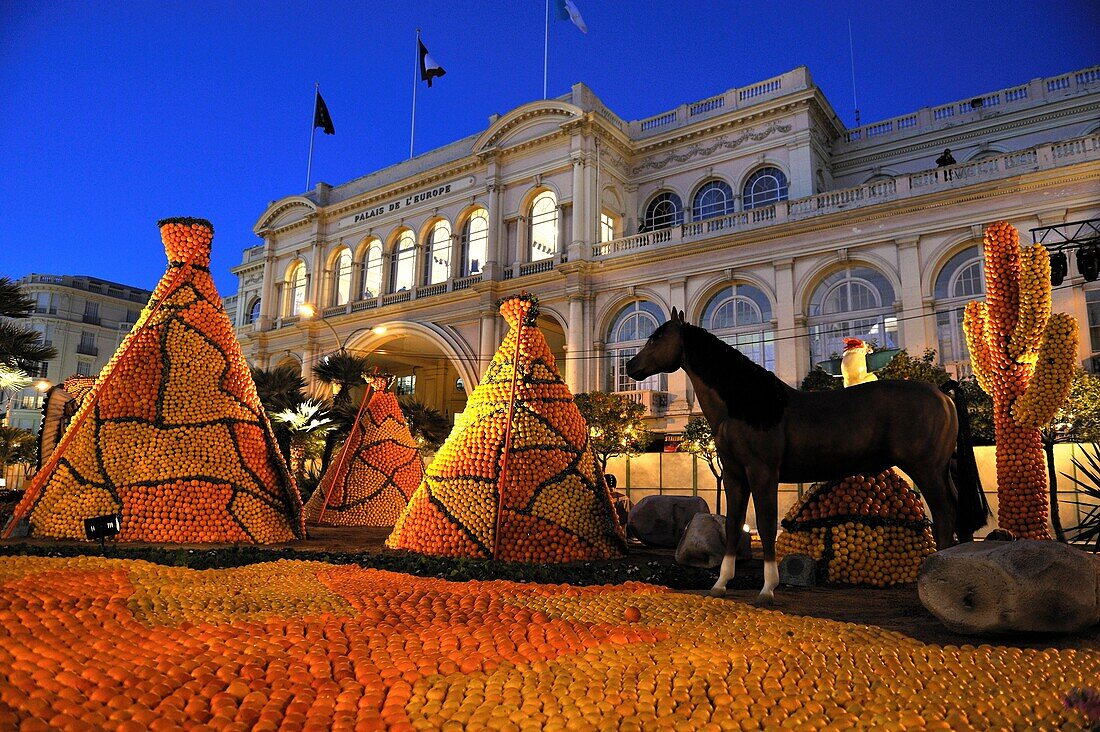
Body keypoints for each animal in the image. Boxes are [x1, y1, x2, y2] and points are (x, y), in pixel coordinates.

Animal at [629, 306, 990, 603]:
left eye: (658, 336)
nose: (631, 366)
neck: (749, 404)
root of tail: (941, 391)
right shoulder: (734, 475)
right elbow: (732, 525)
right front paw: (720, 584)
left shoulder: (763, 474)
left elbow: (766, 524)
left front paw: (767, 589)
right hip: (944, 468)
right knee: (958, 513)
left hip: (926, 469)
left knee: (944, 514)